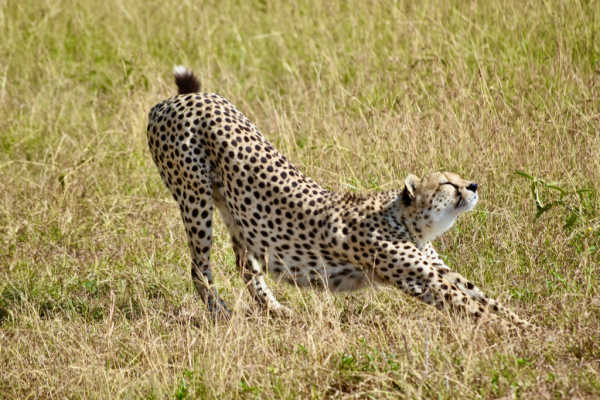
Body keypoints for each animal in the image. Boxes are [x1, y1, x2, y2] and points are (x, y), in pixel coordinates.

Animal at [146, 66, 536, 332]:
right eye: (446, 183)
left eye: (457, 177)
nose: (473, 186)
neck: (406, 220)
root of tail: (181, 98)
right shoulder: (422, 280)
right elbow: (473, 308)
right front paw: (518, 336)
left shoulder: (439, 269)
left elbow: (485, 298)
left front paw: (528, 325)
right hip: (195, 199)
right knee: (200, 268)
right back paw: (222, 314)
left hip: (236, 209)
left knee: (246, 265)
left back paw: (275, 311)